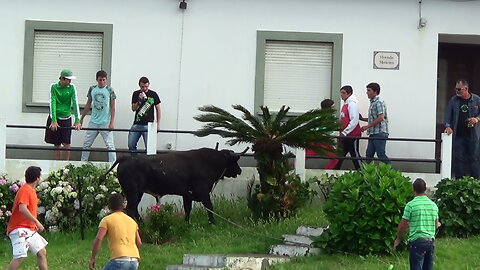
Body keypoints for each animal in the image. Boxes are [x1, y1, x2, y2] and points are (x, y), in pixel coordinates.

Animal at [101, 148, 244, 224]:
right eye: (235, 161)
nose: (240, 170)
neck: (209, 162)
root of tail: (126, 158)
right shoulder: (203, 191)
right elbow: (209, 206)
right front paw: (212, 223)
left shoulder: (187, 194)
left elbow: (188, 209)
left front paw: (186, 223)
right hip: (133, 191)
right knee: (131, 208)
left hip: (134, 192)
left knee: (132, 208)